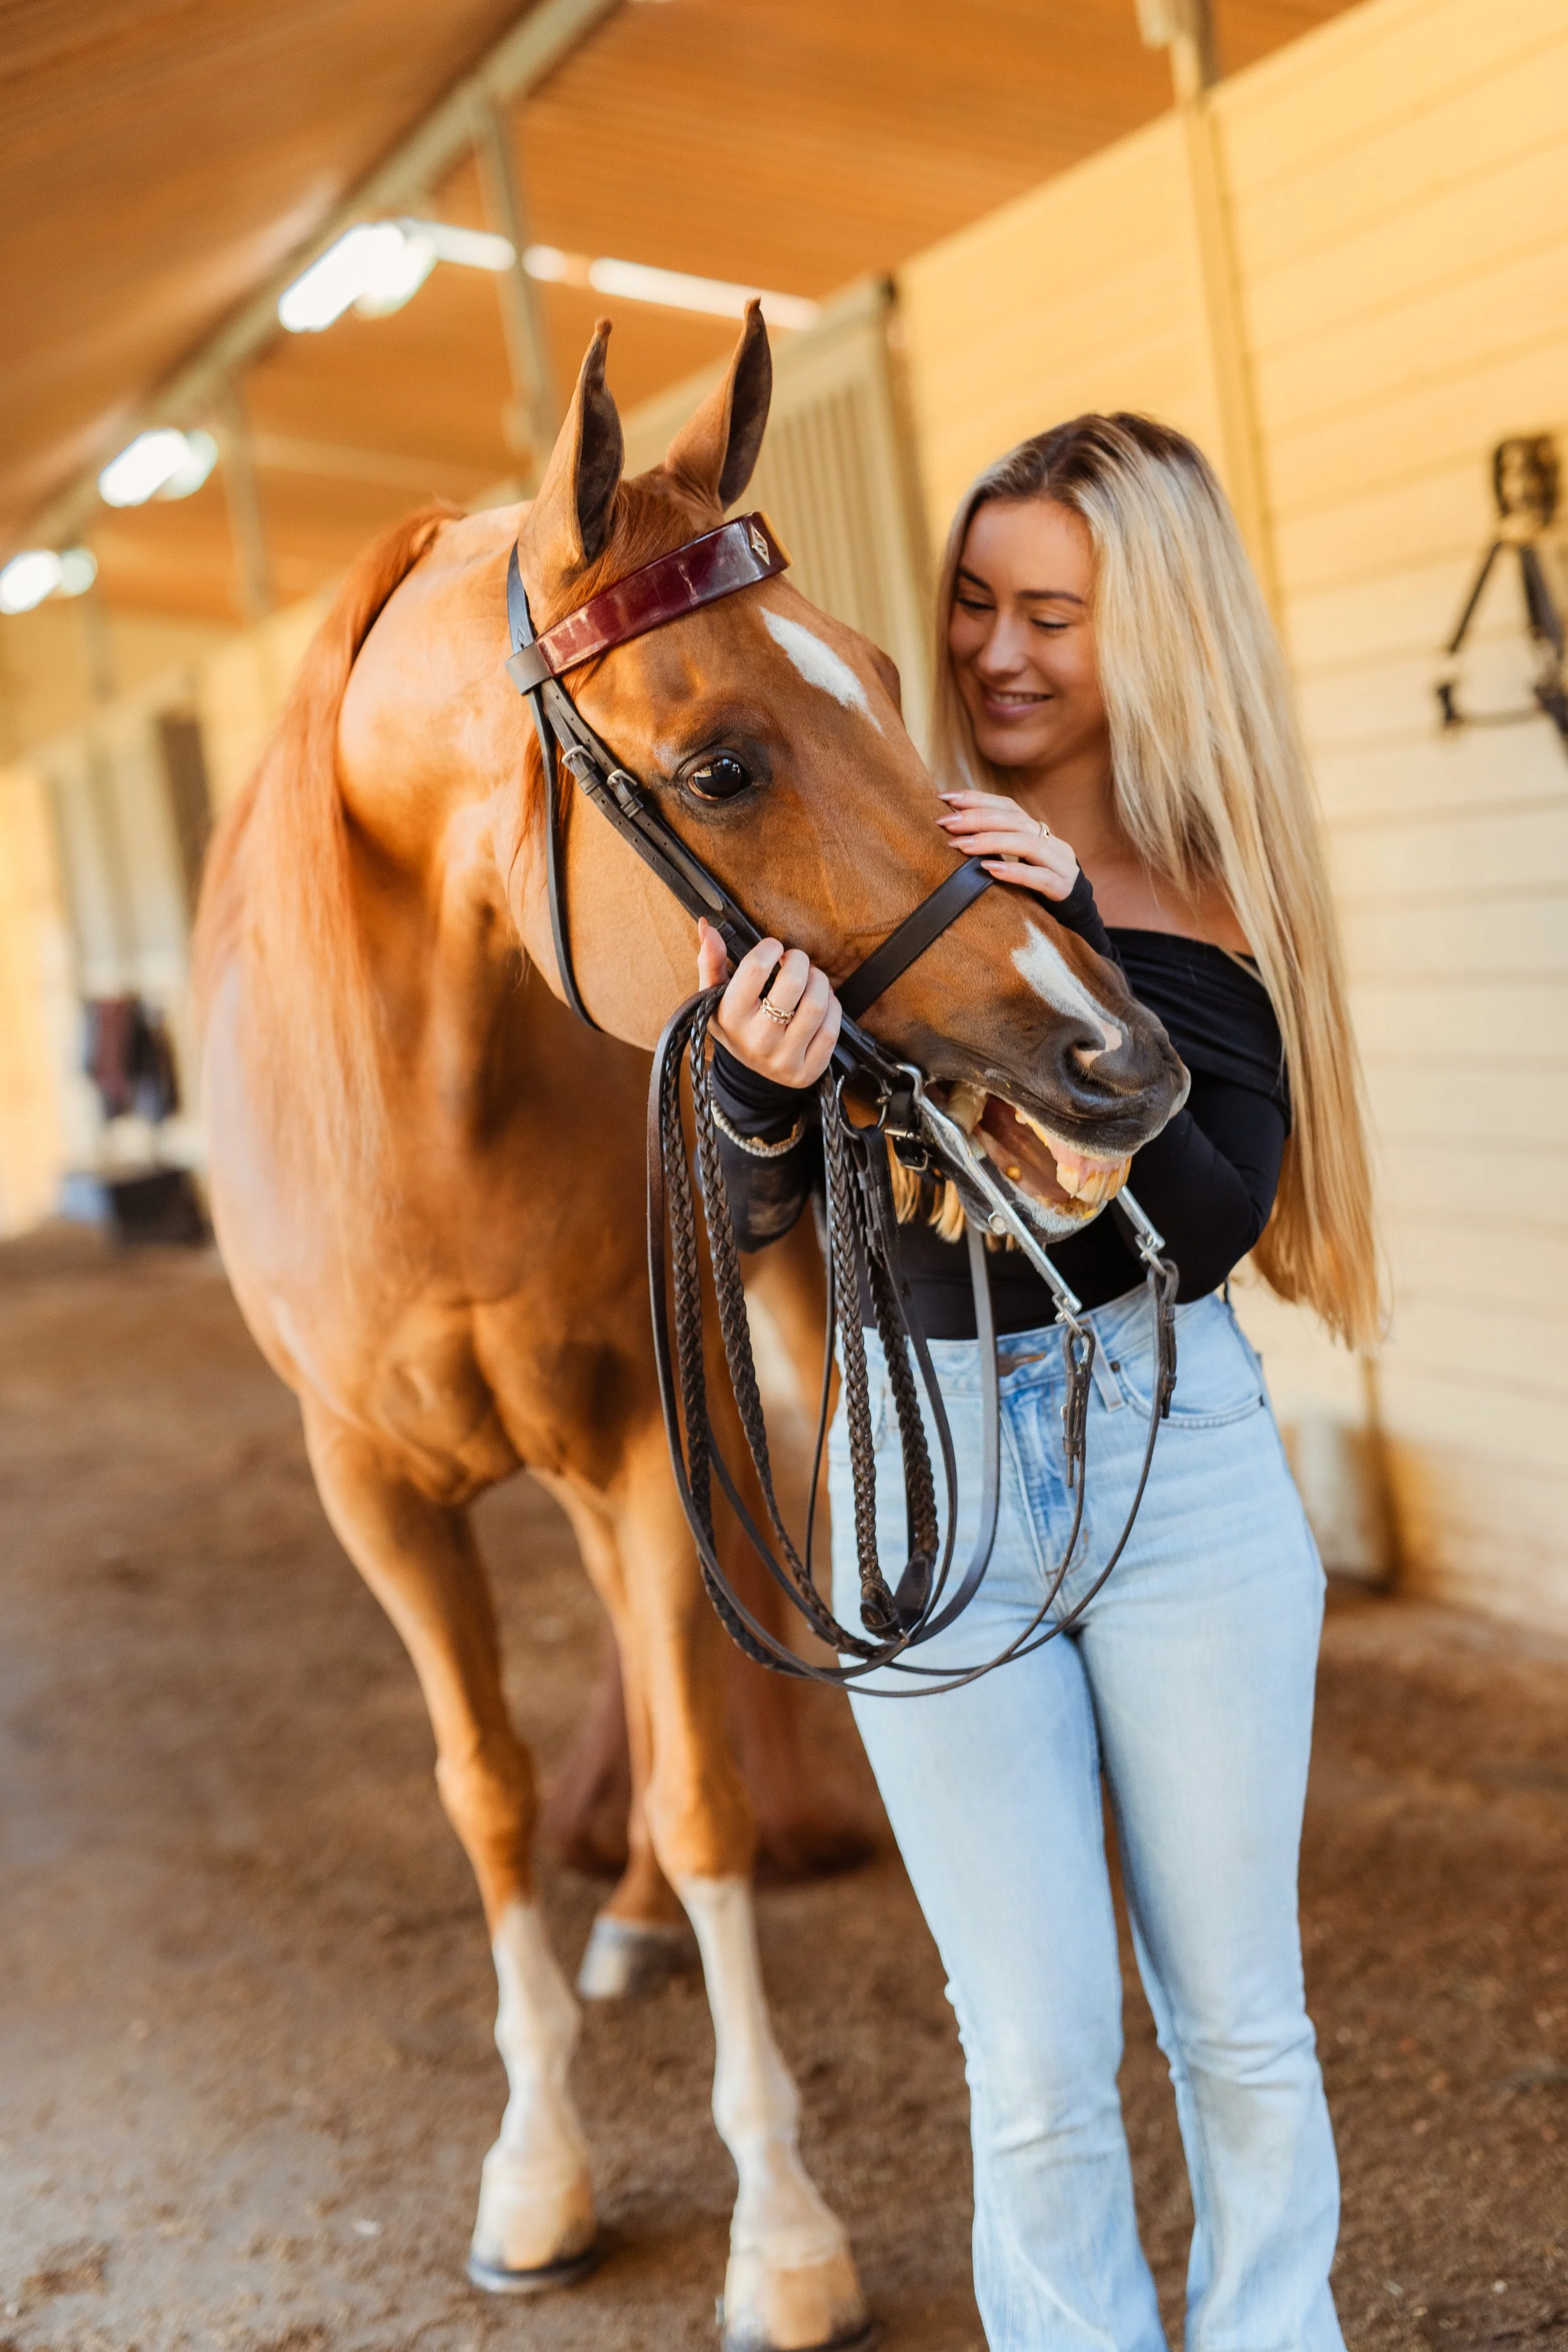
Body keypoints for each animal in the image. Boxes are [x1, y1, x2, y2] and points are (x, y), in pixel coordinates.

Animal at [192, 303, 1185, 2350]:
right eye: (721, 767)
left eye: (890, 673)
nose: (1118, 1060)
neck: (418, 1101)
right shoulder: (371, 1490)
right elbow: (486, 1798)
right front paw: (533, 2177)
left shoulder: (648, 1436)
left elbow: (704, 1780)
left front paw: (784, 2235)